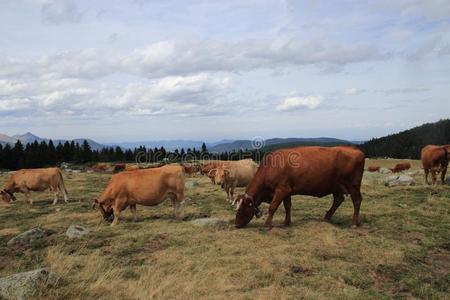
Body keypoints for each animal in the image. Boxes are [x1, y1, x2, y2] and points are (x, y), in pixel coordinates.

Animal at [234, 146, 364, 229]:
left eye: (240, 209)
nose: (236, 224)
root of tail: (355, 149)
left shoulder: (281, 189)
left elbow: (273, 207)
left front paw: (267, 224)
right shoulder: (287, 191)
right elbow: (287, 206)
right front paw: (286, 222)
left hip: (353, 185)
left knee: (357, 200)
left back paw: (354, 222)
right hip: (337, 186)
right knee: (338, 199)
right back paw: (327, 217)